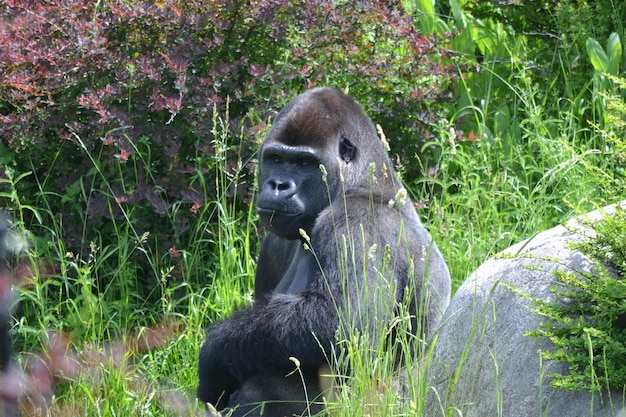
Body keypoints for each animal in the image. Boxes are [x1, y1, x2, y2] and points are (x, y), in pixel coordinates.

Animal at [197, 86, 446, 414]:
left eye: (305, 164)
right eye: (275, 159)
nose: (278, 185)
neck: (362, 181)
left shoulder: (358, 222)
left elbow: (338, 325)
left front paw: (215, 354)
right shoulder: (276, 240)